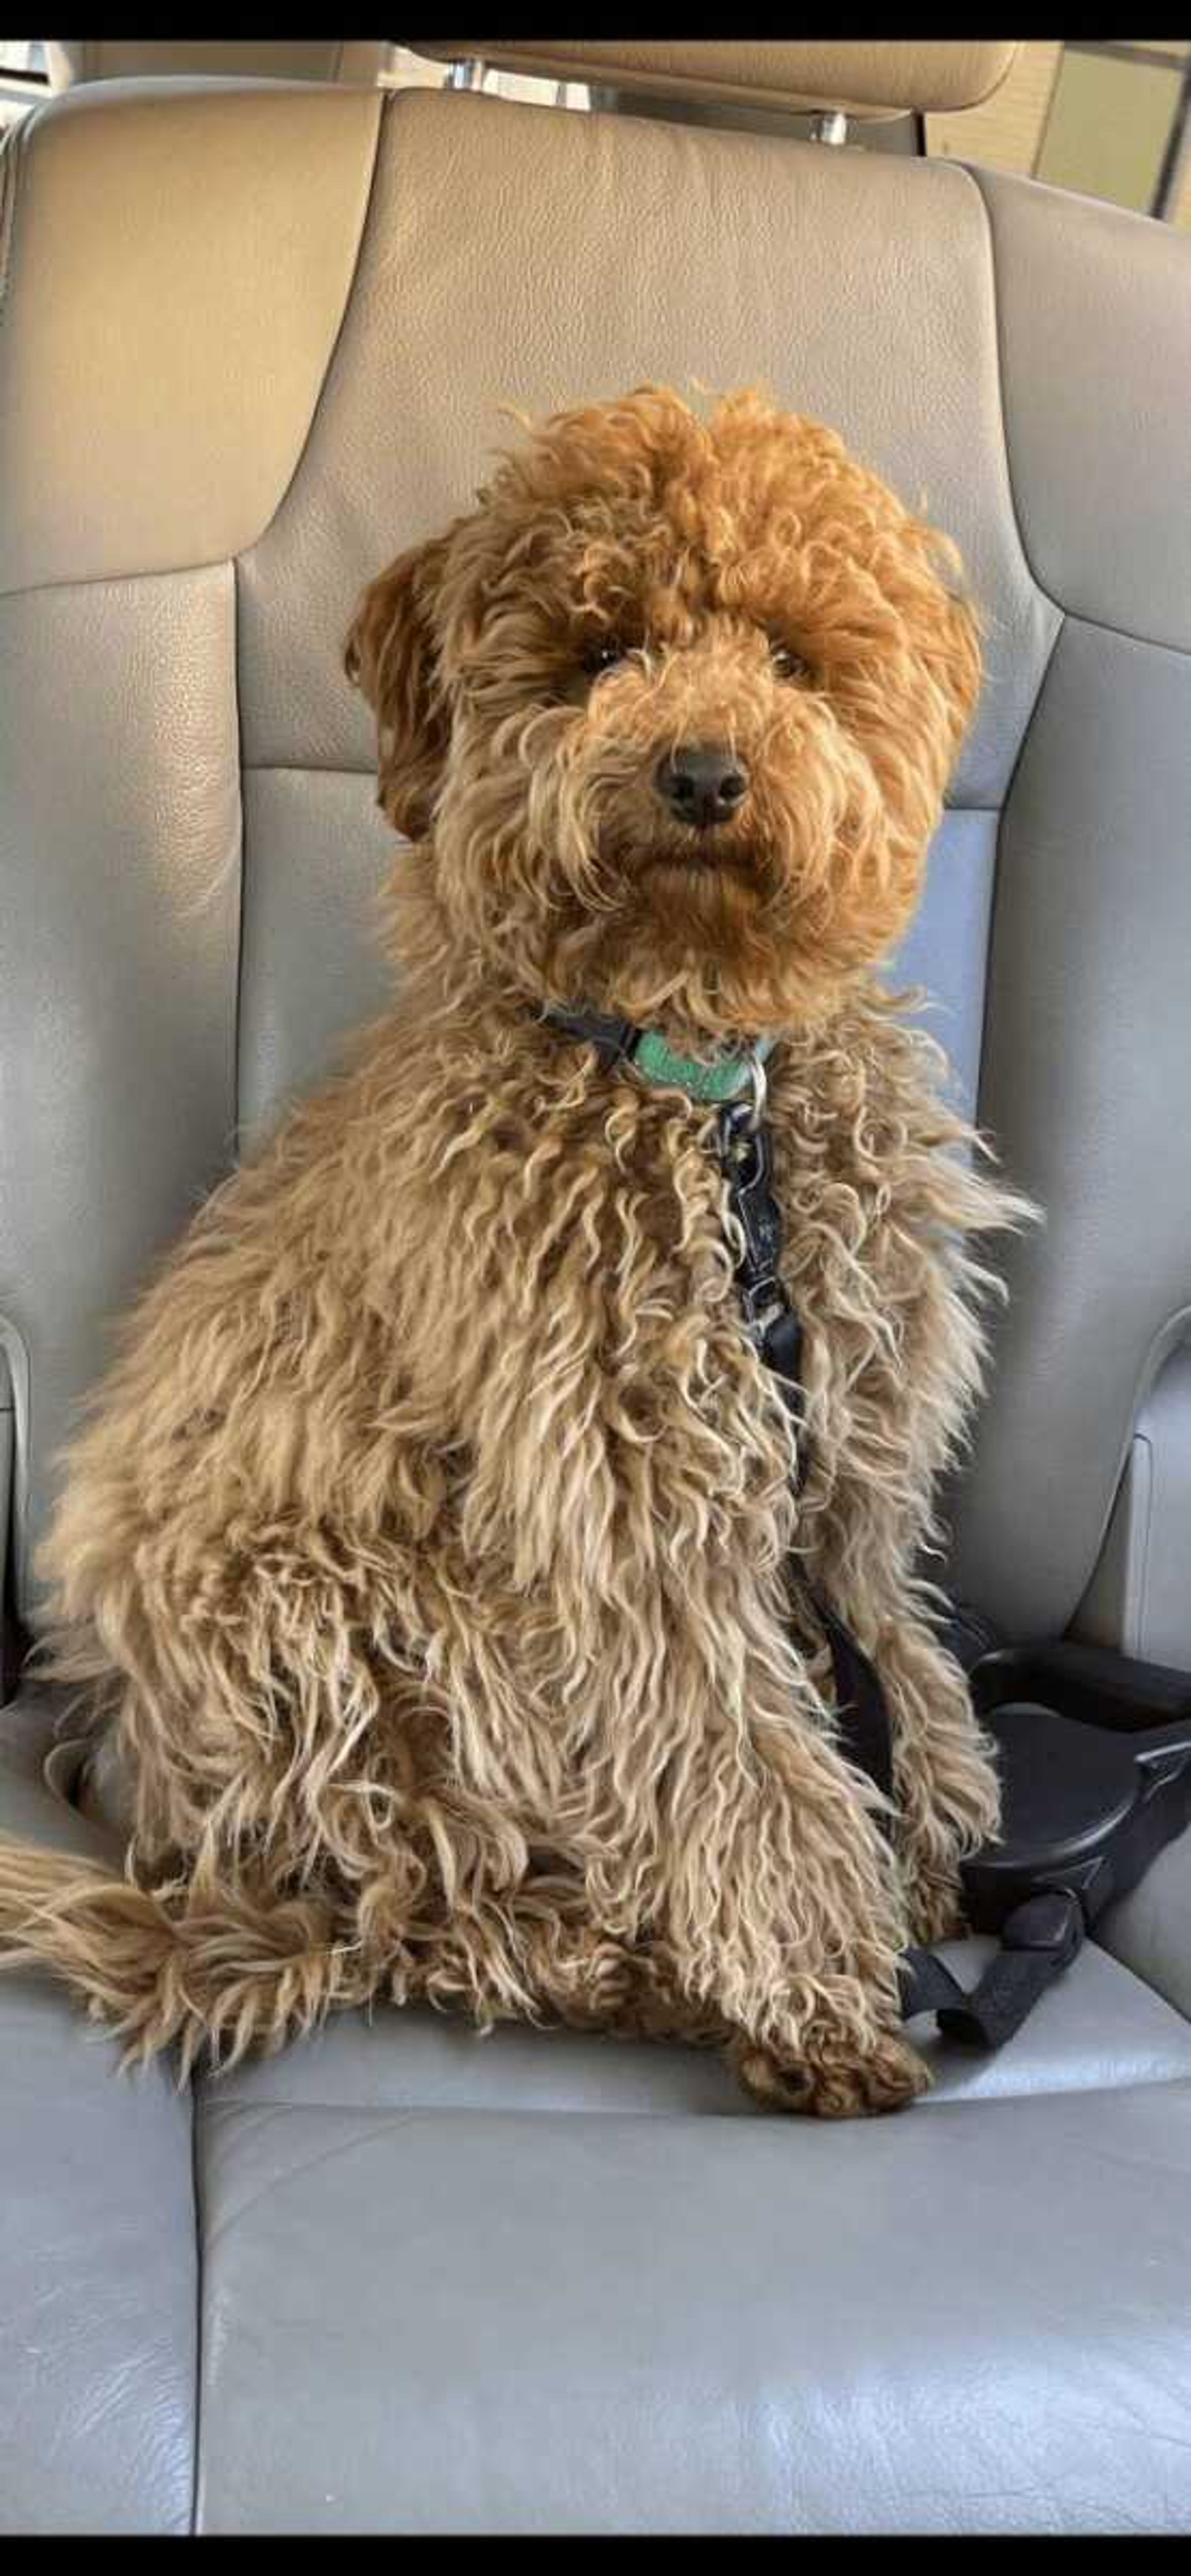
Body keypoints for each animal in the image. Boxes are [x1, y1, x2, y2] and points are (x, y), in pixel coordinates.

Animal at [0, 386, 1026, 2112]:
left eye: (790, 654)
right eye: (601, 650)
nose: (702, 773)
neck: (699, 1084)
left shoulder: (853, 1451)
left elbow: (895, 1643)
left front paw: (936, 1849)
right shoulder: (633, 1516)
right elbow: (744, 1760)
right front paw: (825, 1990)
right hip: (350, 1613)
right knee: (427, 1901)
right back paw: (615, 1965)